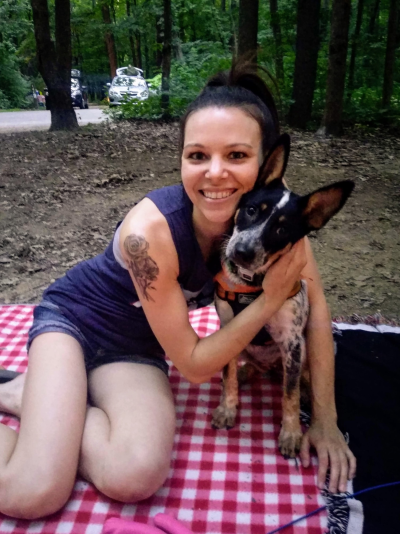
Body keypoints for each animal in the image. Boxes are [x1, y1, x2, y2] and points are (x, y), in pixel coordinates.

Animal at [212, 133, 354, 458]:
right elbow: (227, 375)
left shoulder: (292, 342)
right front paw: (228, 408)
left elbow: (289, 396)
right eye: (252, 209)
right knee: (248, 367)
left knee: (300, 382)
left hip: (303, 354)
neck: (253, 287)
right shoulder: (227, 329)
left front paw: (290, 434)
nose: (242, 252)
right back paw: (247, 373)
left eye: (282, 229)